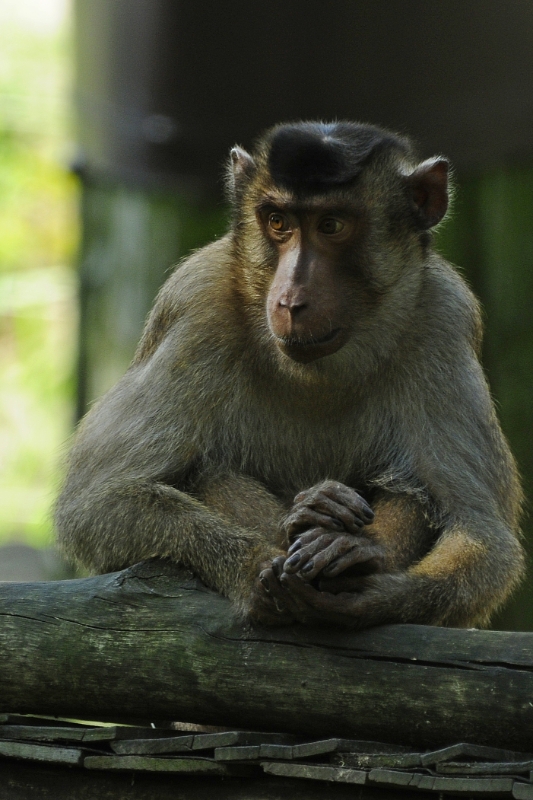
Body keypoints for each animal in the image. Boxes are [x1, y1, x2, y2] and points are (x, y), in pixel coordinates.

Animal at [55, 120, 524, 632]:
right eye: (278, 222)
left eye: (331, 225)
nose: (290, 300)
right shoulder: (197, 306)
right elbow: (97, 503)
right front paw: (261, 557)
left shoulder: (442, 316)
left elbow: (482, 535)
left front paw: (376, 590)